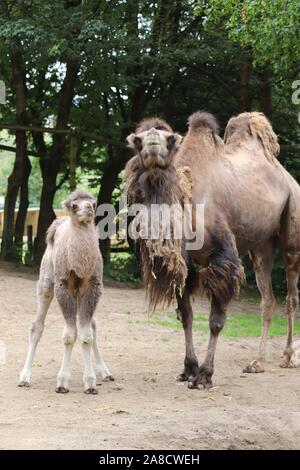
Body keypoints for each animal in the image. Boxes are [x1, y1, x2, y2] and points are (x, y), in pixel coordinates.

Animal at [125, 112, 300, 388]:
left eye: (170, 139)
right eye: (138, 140)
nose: (153, 137)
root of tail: (287, 176)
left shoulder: (223, 256)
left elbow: (216, 321)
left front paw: (205, 375)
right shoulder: (184, 262)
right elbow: (185, 315)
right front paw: (189, 369)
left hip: (292, 222)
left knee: (291, 294)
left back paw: (288, 356)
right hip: (261, 245)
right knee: (268, 298)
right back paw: (257, 362)